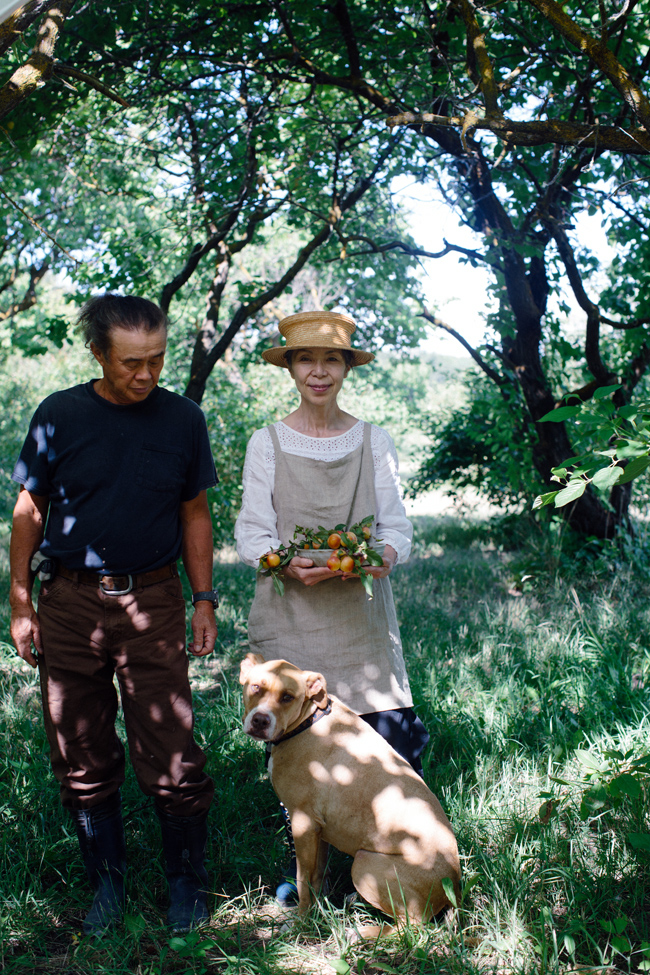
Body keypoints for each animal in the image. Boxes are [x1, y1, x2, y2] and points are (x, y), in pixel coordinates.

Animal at [239, 652, 460, 936]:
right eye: (256, 687)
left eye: (288, 697)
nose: (260, 720)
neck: (307, 722)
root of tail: (454, 886)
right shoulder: (317, 830)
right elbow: (316, 876)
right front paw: (316, 913)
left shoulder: (302, 823)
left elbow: (302, 880)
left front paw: (300, 922)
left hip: (366, 863)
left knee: (411, 926)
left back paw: (360, 934)